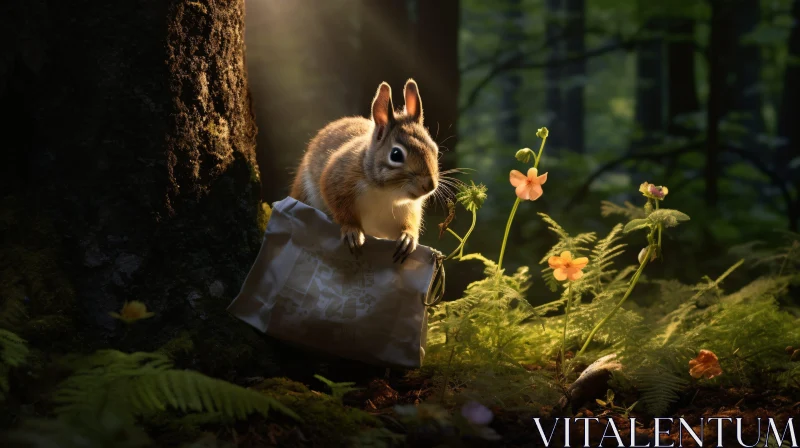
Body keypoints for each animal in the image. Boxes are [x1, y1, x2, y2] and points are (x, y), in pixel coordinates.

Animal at [290, 79, 440, 263]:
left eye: (435, 148)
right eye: (396, 154)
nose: (430, 185)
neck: (387, 193)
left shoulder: (407, 209)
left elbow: (411, 221)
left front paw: (408, 237)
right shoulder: (337, 178)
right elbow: (339, 207)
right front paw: (352, 230)